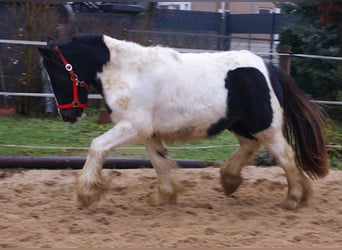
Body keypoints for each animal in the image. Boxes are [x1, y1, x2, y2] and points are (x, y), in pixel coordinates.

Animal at [38, 33, 328, 209]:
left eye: (57, 74)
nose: (68, 115)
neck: (128, 73)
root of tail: (269, 68)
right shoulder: (148, 133)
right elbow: (159, 162)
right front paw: (164, 196)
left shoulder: (133, 126)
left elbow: (97, 146)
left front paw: (87, 193)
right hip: (241, 124)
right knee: (250, 147)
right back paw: (230, 180)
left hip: (265, 127)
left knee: (286, 156)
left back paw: (293, 199)